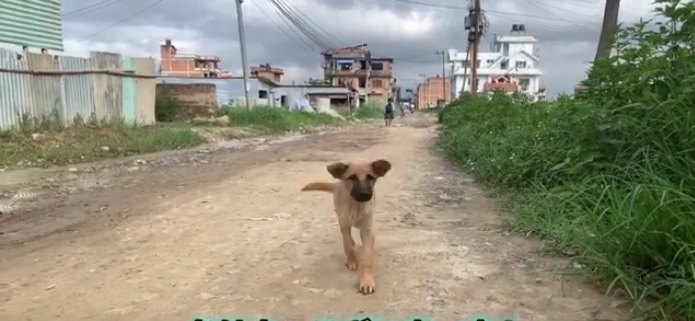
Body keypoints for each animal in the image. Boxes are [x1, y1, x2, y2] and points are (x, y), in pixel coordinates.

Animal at [302, 158, 394, 292]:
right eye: (352, 177)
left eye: (370, 177)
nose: (365, 194)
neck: (356, 206)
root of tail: (337, 184)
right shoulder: (344, 224)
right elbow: (347, 246)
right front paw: (352, 261)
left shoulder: (368, 229)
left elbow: (367, 257)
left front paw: (366, 281)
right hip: (340, 216)